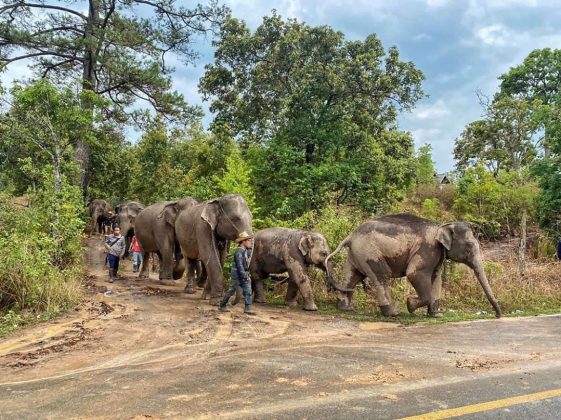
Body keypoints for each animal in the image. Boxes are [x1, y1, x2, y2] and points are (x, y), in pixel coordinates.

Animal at [326, 215, 500, 316]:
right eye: (469, 246)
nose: (497, 315)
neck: (442, 225)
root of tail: (350, 236)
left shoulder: (437, 254)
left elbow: (436, 278)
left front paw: (435, 315)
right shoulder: (427, 249)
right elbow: (414, 273)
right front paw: (410, 305)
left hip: (356, 255)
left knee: (352, 277)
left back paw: (345, 308)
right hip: (369, 253)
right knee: (382, 276)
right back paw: (393, 313)